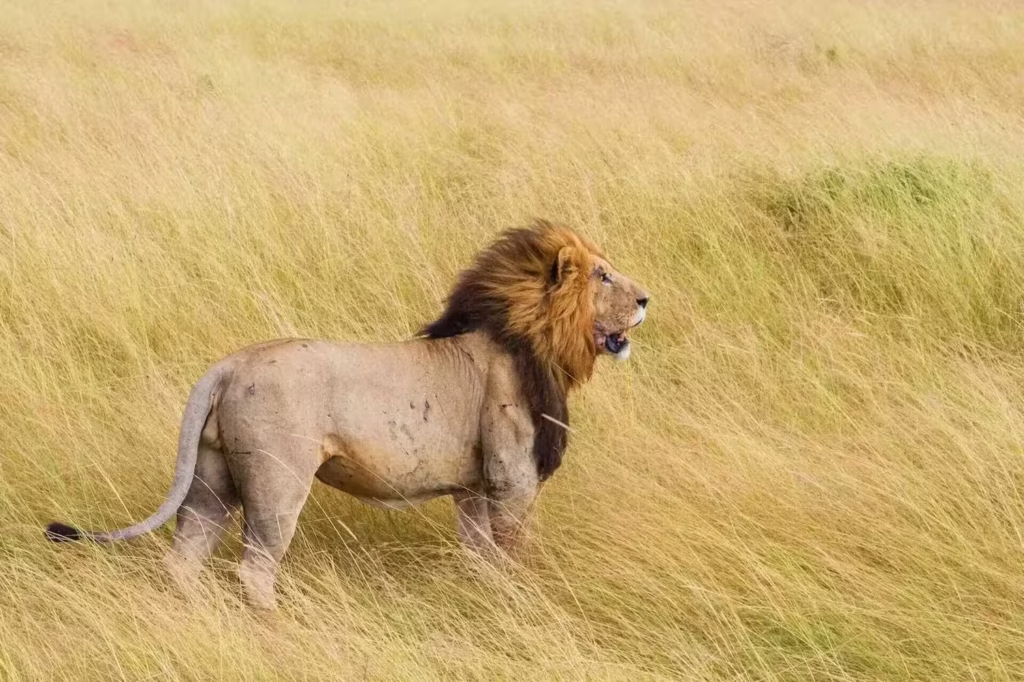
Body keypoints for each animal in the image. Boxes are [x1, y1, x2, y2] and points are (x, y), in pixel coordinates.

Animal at [45, 220, 649, 609]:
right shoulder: (511, 477)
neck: (534, 341)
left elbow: (480, 556)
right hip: (278, 481)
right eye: (602, 276)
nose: (647, 300)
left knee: (184, 559)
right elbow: (512, 552)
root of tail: (227, 366)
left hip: (212, 479)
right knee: (254, 568)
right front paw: (520, 599)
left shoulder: (474, 488)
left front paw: (486, 597)